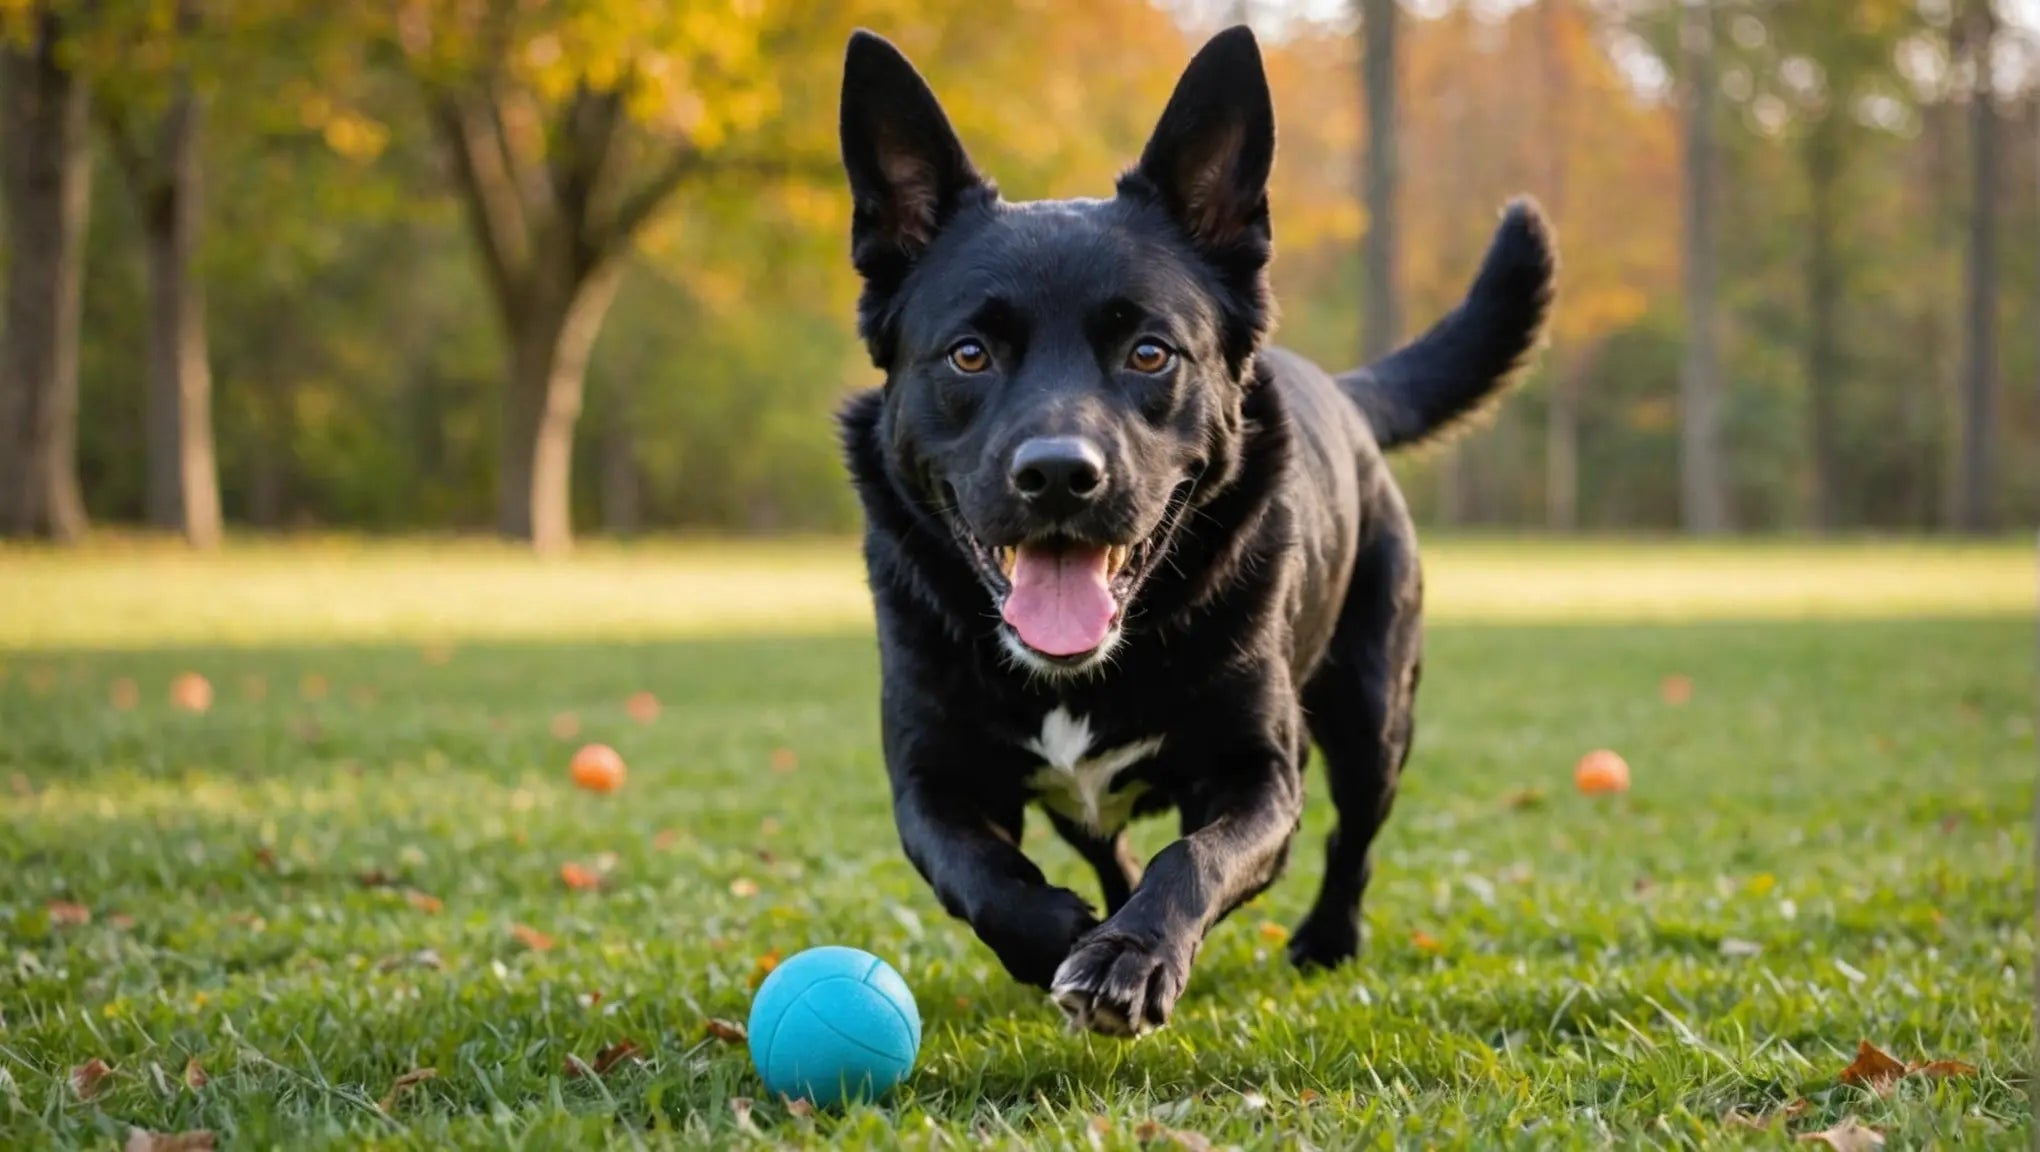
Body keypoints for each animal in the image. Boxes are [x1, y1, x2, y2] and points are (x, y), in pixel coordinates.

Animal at [836, 24, 1550, 1031]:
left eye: (1150, 353)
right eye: (969, 355)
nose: (1059, 474)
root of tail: (1344, 390)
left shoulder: (1261, 773)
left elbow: (1196, 857)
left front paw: (1129, 953)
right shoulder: (931, 780)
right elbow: (980, 875)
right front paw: (1065, 937)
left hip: (1376, 712)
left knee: (1355, 836)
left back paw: (1327, 940)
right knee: (1102, 838)